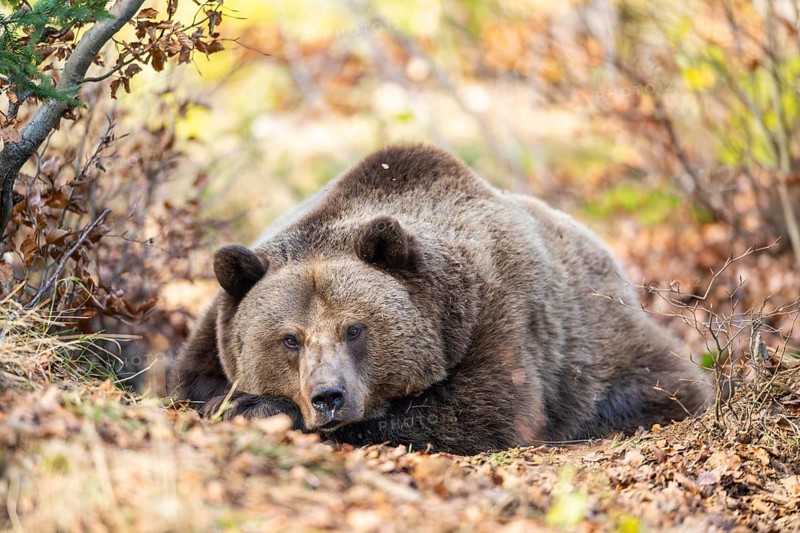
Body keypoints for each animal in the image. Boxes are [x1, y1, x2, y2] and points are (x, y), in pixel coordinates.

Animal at [172, 144, 711, 455]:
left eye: (355, 328)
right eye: (290, 339)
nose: (329, 396)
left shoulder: (493, 316)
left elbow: (482, 412)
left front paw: (256, 406)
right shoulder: (217, 323)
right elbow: (192, 379)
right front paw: (236, 400)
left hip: (600, 351)